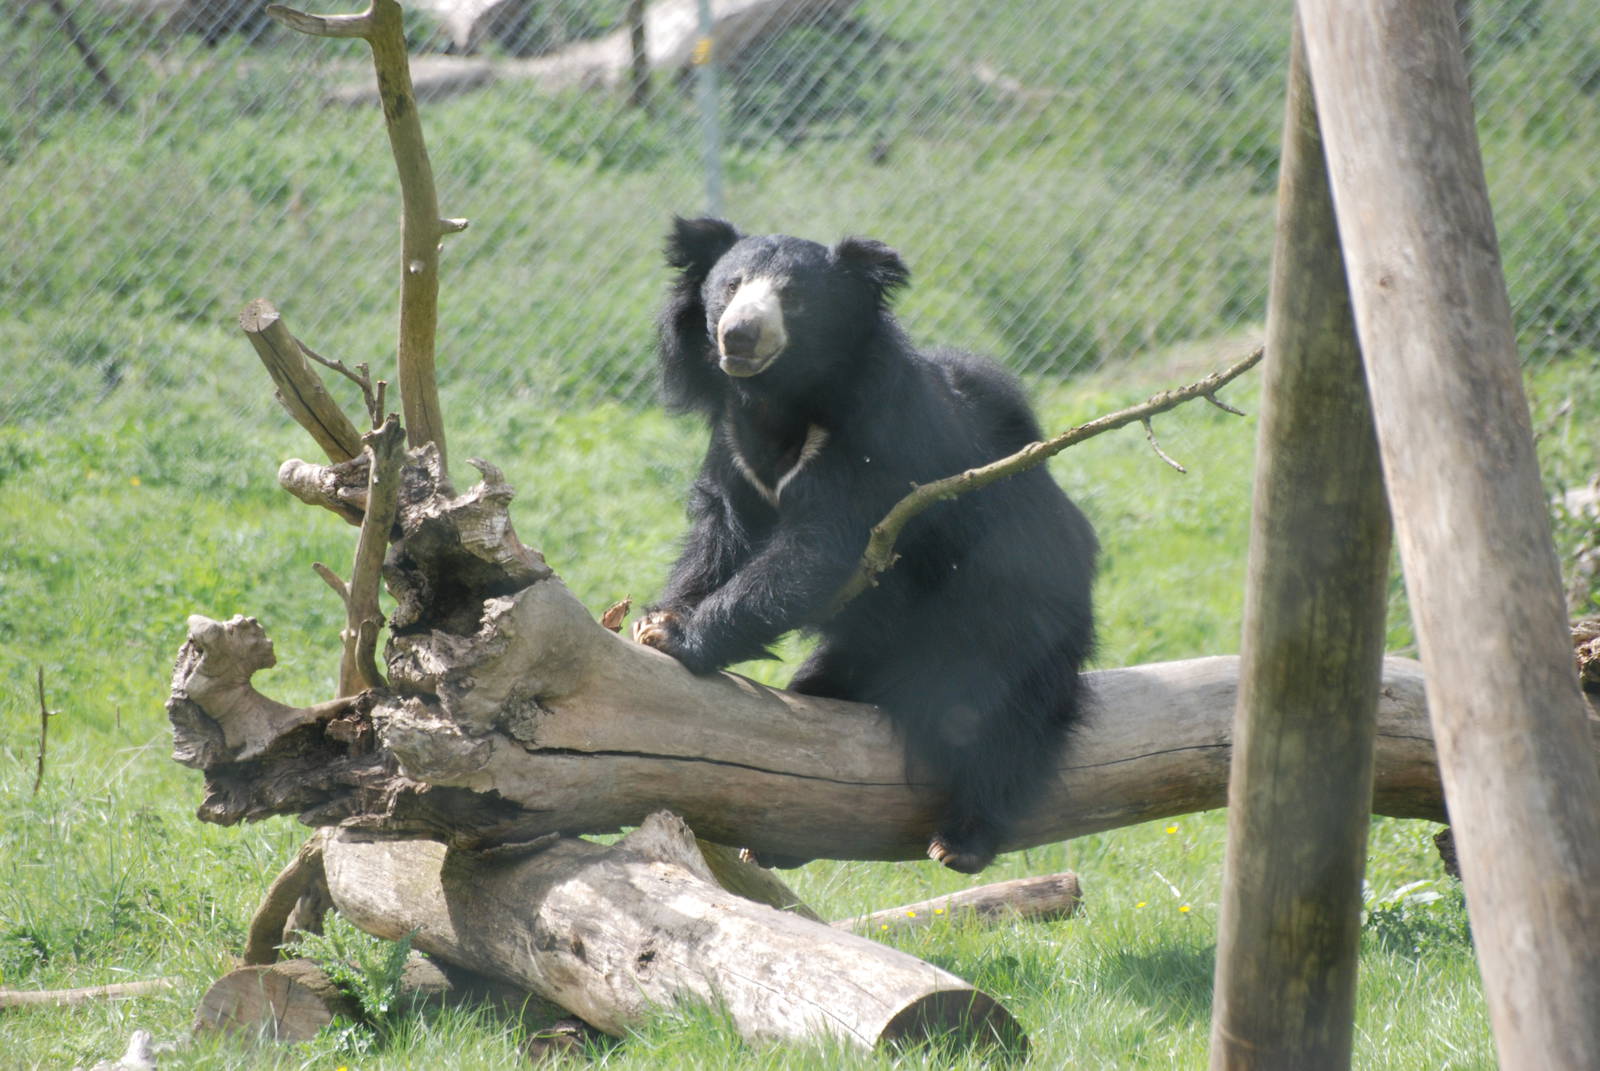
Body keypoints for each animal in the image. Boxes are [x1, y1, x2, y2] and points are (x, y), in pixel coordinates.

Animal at [631, 217, 1098, 874]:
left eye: (794, 298)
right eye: (730, 286)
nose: (739, 336)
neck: (777, 400)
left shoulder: (870, 446)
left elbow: (817, 549)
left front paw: (677, 635)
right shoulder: (735, 450)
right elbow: (721, 534)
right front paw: (657, 616)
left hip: (1011, 609)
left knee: (1006, 721)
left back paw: (961, 840)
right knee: (824, 690)